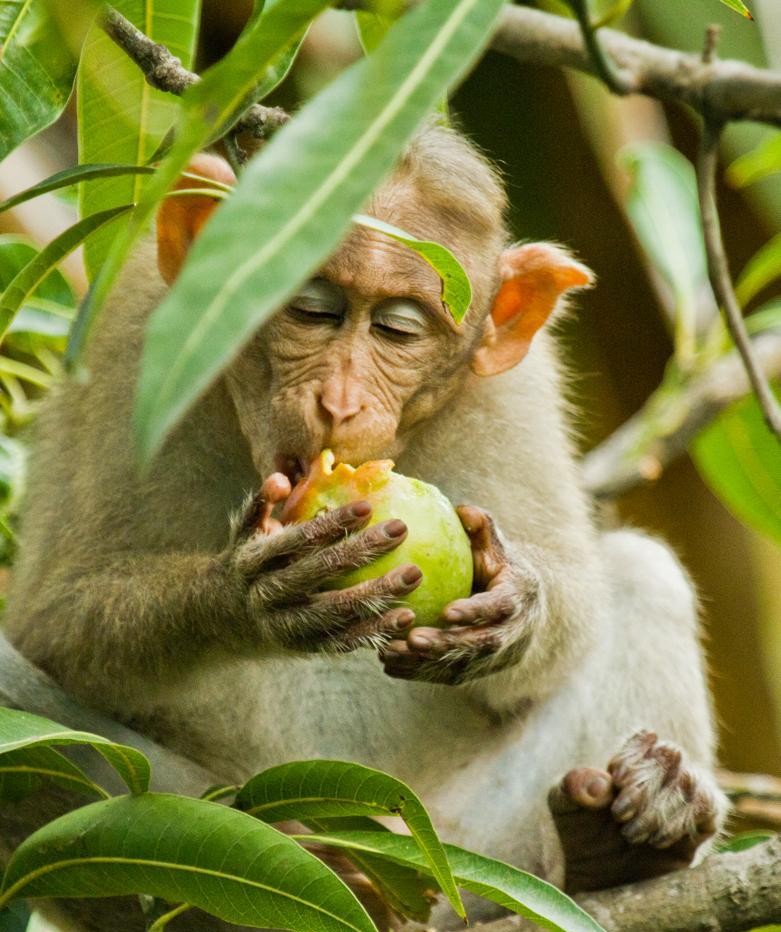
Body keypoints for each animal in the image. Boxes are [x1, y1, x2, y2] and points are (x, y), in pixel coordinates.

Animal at [3, 125, 726, 930]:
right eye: (310, 309)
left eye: (398, 329)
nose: (340, 402)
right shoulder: (130, 337)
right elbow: (56, 621)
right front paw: (249, 597)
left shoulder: (519, 386)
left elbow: (579, 602)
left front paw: (515, 603)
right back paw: (313, 873)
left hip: (480, 856)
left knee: (643, 577)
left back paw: (618, 843)